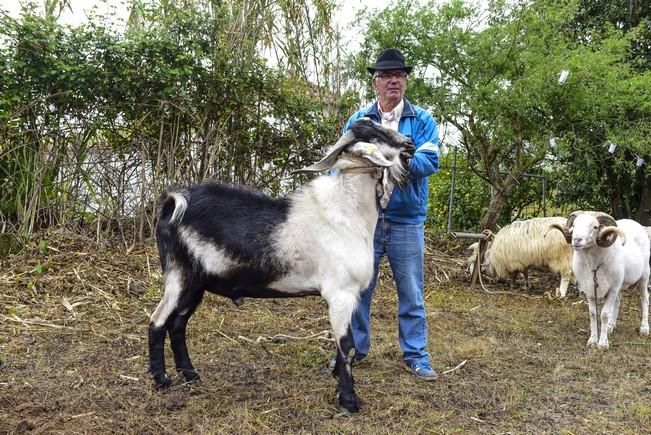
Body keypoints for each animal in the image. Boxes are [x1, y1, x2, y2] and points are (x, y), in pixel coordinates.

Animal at [148, 117, 412, 414]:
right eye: (376, 134)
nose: (410, 145)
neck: (345, 212)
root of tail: (172, 203)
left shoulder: (349, 296)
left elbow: (342, 344)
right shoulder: (340, 293)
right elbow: (347, 345)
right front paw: (349, 401)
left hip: (196, 284)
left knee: (178, 324)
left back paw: (191, 375)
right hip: (179, 275)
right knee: (158, 320)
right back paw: (161, 379)